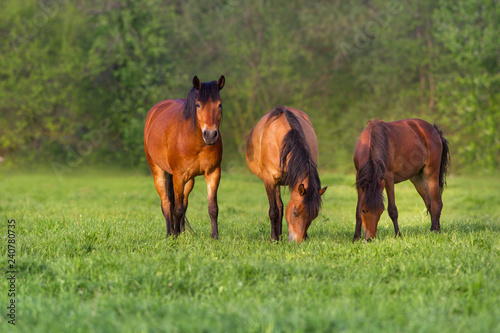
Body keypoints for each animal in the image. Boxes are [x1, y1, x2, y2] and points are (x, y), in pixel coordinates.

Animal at [143, 74, 225, 239]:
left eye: (219, 105)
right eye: (198, 105)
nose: (210, 134)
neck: (197, 143)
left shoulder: (213, 173)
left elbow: (212, 207)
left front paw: (215, 236)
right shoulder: (178, 176)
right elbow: (177, 209)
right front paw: (174, 236)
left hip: (189, 180)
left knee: (184, 202)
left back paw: (181, 231)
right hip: (159, 173)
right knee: (167, 204)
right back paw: (170, 233)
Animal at [247, 105, 328, 241]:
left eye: (314, 215)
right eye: (295, 212)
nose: (298, 241)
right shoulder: (269, 180)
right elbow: (273, 211)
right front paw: (273, 239)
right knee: (278, 207)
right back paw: (278, 236)